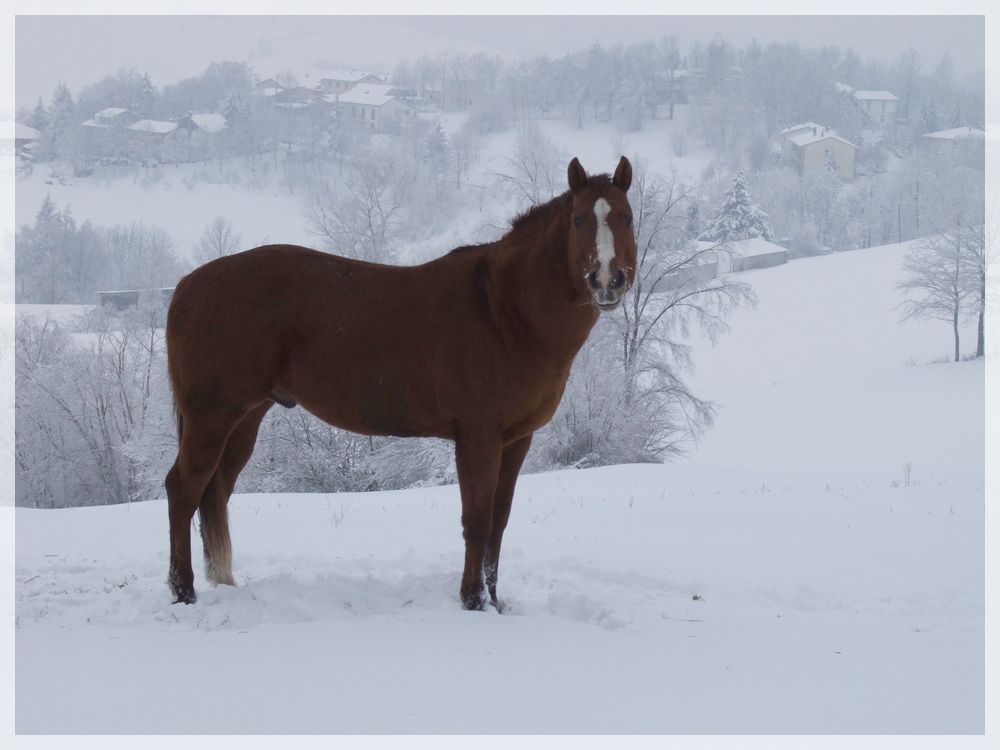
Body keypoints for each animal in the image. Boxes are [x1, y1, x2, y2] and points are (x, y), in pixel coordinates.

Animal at [163, 157, 632, 612]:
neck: (501, 309)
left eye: (626, 217)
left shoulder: (517, 440)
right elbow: (476, 520)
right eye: (577, 220)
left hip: (244, 420)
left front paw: (495, 602)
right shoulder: (478, 437)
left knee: (214, 493)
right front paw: (473, 600)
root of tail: (185, 285)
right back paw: (183, 592)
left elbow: (498, 522)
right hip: (210, 419)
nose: (606, 280)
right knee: (183, 490)